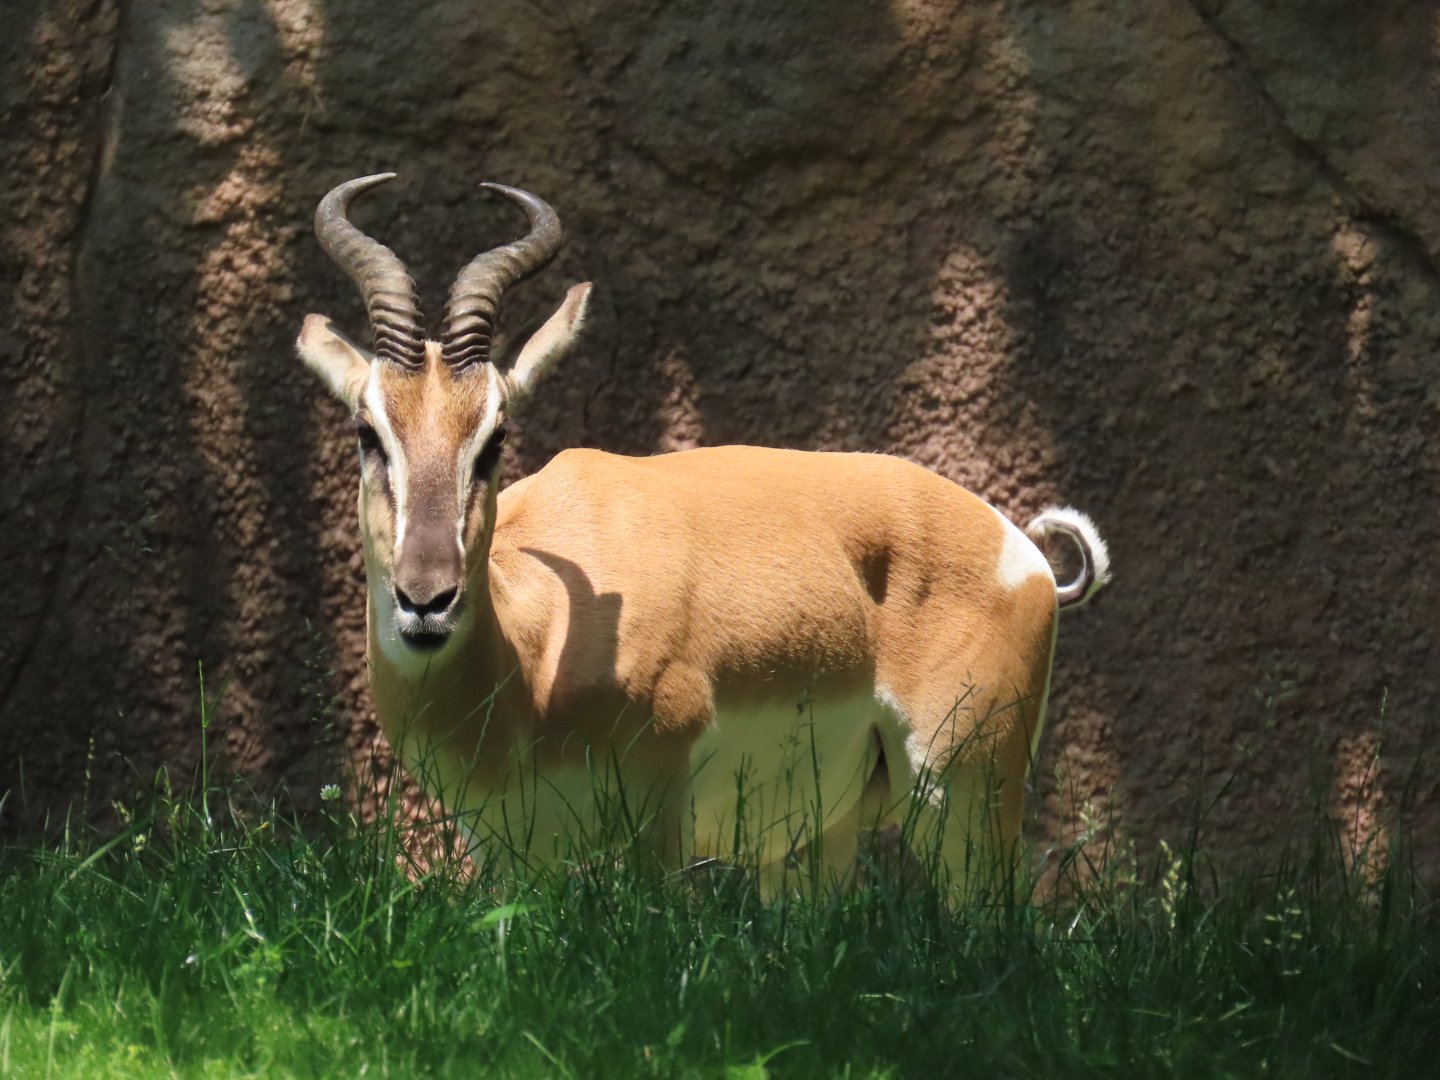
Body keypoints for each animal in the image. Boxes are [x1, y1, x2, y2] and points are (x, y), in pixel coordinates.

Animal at [297, 173, 1111, 892]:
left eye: (495, 436)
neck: (535, 649)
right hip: (824, 837)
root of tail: (1027, 555)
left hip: (961, 799)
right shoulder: (507, 849)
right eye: (368, 430)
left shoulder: (657, 809)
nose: (426, 600)